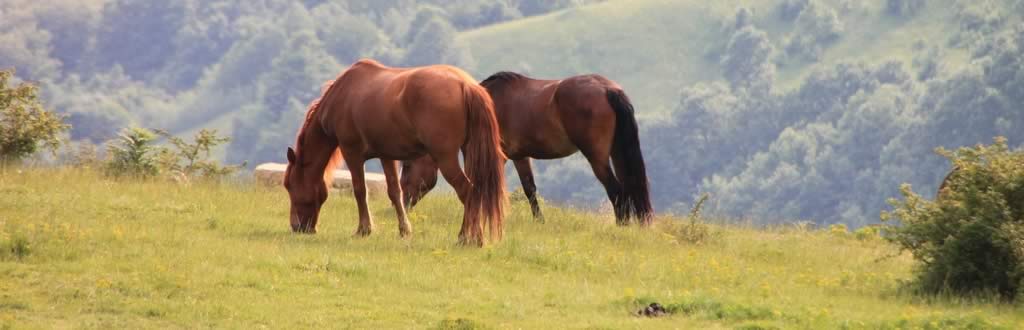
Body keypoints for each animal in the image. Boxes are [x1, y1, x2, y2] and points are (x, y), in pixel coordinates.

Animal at [282, 58, 505, 244]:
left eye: (289, 185)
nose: (297, 226)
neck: (342, 95)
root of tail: (465, 85)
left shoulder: (352, 153)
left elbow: (360, 190)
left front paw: (364, 229)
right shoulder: (387, 156)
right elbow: (395, 192)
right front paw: (404, 230)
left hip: (446, 158)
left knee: (467, 191)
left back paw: (467, 237)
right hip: (468, 153)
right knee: (475, 191)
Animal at [395, 71, 651, 226]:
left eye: (407, 167)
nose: (403, 203)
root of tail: (608, 89)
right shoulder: (520, 157)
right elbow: (530, 189)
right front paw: (539, 221)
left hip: (596, 157)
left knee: (616, 190)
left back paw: (621, 225)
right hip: (616, 153)